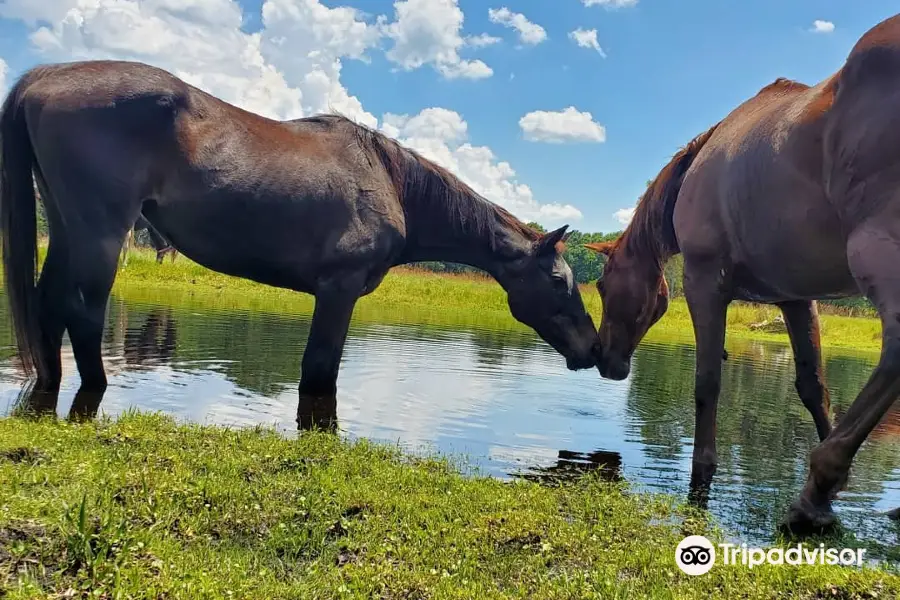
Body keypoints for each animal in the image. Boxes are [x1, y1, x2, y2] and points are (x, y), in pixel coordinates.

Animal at [1, 57, 604, 422]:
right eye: (559, 281)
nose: (595, 350)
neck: (393, 182)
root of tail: (47, 76)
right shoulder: (337, 292)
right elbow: (319, 376)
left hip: (66, 226)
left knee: (48, 304)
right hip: (101, 234)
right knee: (83, 311)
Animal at [588, 11, 900, 532]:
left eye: (601, 285)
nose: (604, 360)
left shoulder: (703, 283)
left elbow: (707, 382)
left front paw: (704, 470)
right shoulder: (795, 296)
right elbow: (813, 387)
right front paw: (836, 492)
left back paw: (812, 493)